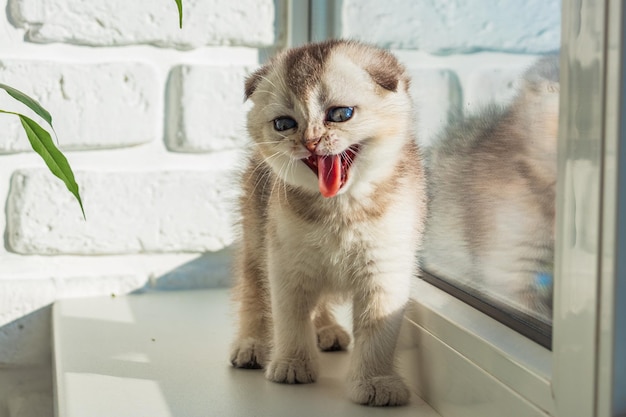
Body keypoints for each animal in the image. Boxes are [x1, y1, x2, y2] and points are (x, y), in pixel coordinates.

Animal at [227, 39, 426, 406]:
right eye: (284, 124)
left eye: (340, 114)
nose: (310, 141)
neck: (340, 211)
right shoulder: (285, 261)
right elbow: (289, 316)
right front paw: (291, 364)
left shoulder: (385, 268)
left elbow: (379, 329)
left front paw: (376, 381)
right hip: (255, 236)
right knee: (253, 291)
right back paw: (252, 344)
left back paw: (327, 330)